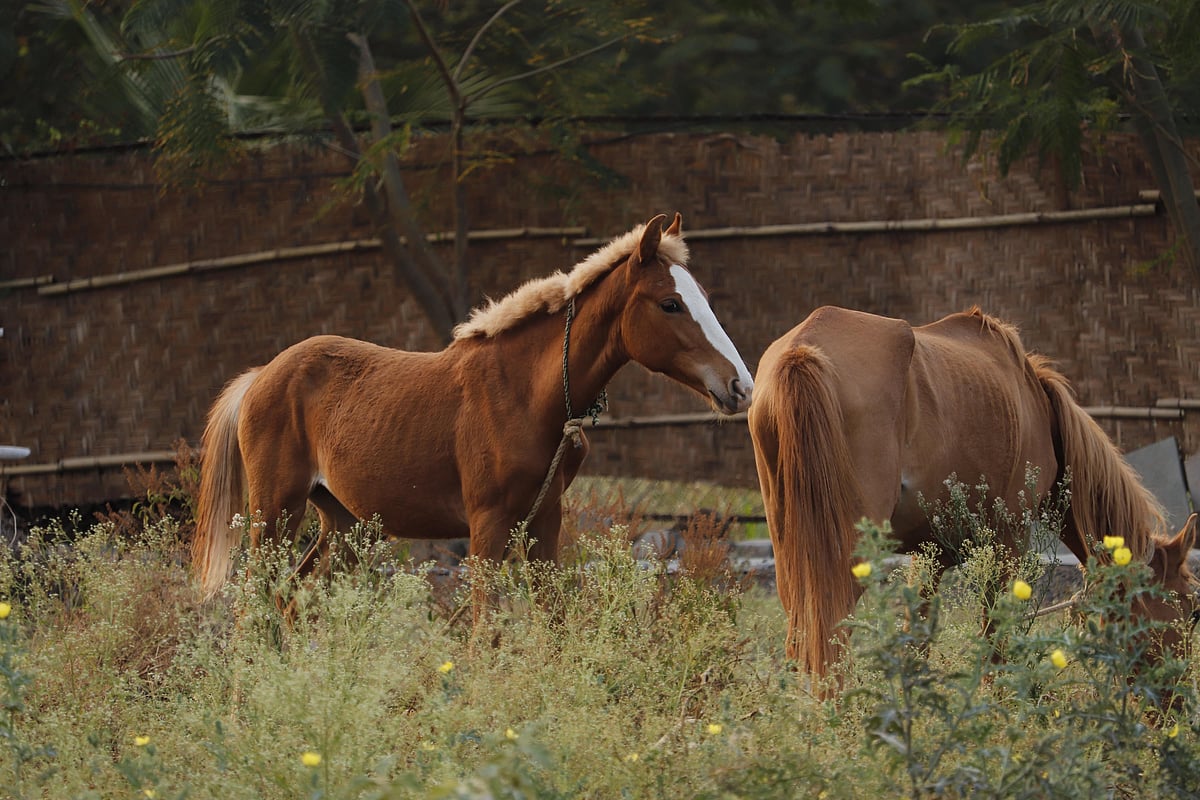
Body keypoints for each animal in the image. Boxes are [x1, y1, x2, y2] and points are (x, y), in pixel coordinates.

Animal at [193, 213, 754, 600]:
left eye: (703, 296)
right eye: (670, 303)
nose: (741, 387)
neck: (526, 394)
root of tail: (260, 377)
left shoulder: (543, 522)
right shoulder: (486, 525)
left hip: (347, 524)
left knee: (289, 602)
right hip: (274, 512)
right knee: (253, 606)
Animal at [747, 305, 1198, 682]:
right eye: (1189, 606)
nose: (1176, 696)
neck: (1038, 406)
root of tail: (802, 351)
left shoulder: (928, 558)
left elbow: (918, 643)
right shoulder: (1008, 543)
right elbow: (995, 641)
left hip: (794, 552)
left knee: (803, 635)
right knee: (830, 637)